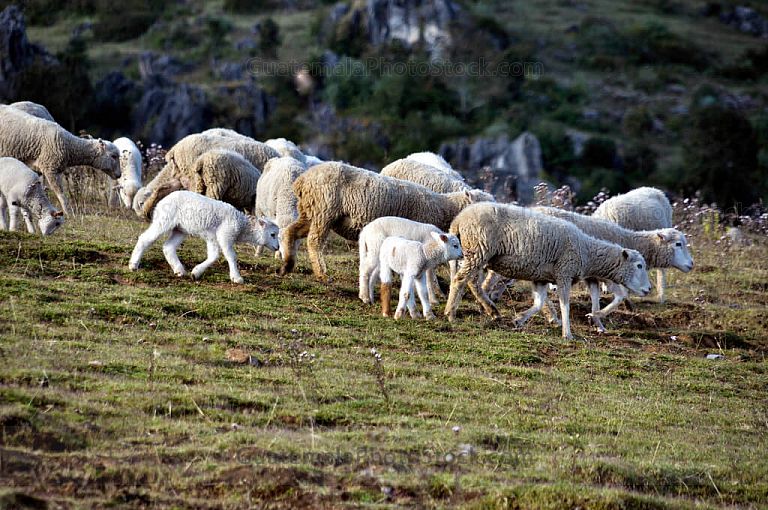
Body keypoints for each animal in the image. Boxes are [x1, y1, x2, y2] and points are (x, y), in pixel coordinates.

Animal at [128, 190, 279, 284]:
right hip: (164, 220)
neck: (242, 226)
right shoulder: (225, 235)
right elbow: (231, 256)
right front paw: (237, 278)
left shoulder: (213, 238)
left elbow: (213, 256)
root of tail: (162, 201)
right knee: (145, 239)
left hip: (180, 229)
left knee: (168, 247)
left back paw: (179, 270)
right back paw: (133, 265)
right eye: (272, 234)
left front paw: (196, 273)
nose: (277, 247)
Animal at [279, 162, 494, 280]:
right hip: (324, 211)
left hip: (310, 212)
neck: (443, 207)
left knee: (291, 231)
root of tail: (302, 181)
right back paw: (322, 274)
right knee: (314, 242)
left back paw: (287, 265)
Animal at [444, 202, 652, 339]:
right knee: (461, 280)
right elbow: (564, 304)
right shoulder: (564, 273)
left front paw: (519, 320)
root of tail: (458, 220)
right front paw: (567, 334)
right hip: (478, 249)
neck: (585, 249)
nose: (649, 289)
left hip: (476, 253)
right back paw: (451, 313)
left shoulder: (541, 278)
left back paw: (491, 309)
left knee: (472, 282)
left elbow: (538, 302)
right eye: (639, 266)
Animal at [534, 206, 694, 332]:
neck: (628, 239)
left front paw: (597, 322)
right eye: (678, 244)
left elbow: (596, 297)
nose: (691, 264)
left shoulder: (594, 275)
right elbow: (620, 295)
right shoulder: (609, 274)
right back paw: (552, 315)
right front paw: (597, 315)